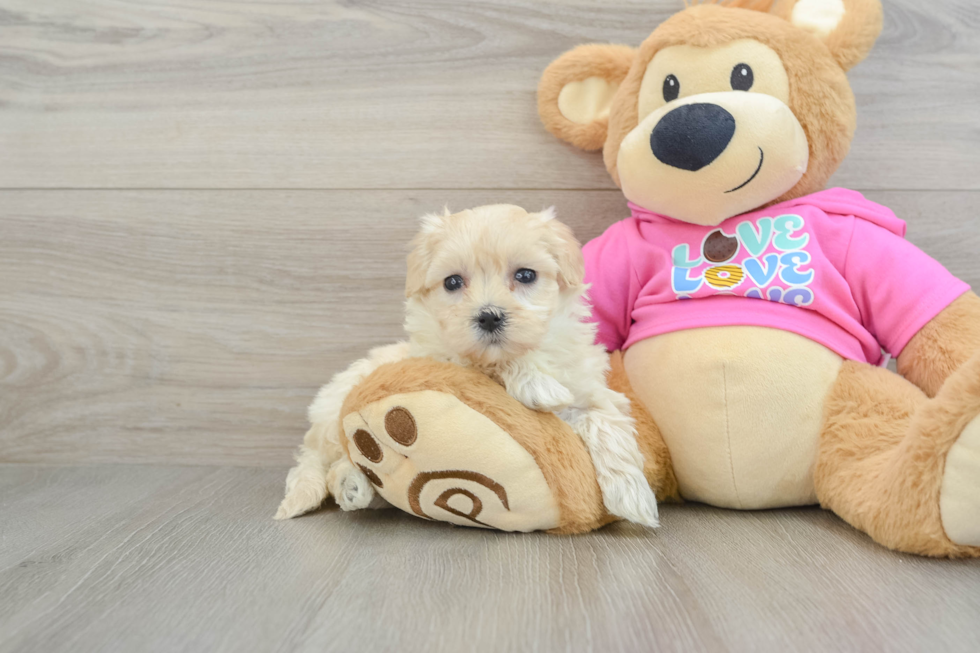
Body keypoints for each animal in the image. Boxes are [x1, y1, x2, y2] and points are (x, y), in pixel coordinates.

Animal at [276, 206, 660, 528]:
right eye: (452, 282)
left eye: (525, 275)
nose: (489, 316)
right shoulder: (446, 359)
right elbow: (490, 366)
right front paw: (537, 385)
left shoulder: (592, 390)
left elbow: (605, 421)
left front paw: (632, 496)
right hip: (336, 411)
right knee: (324, 461)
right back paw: (350, 483)